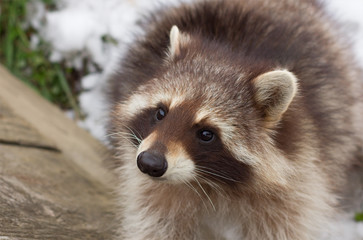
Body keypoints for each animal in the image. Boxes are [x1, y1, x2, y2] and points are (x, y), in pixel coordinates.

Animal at [107, 0, 363, 239]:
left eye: (206, 134)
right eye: (160, 113)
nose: (149, 163)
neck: (210, 182)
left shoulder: (299, 178)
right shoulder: (153, 188)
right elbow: (157, 224)